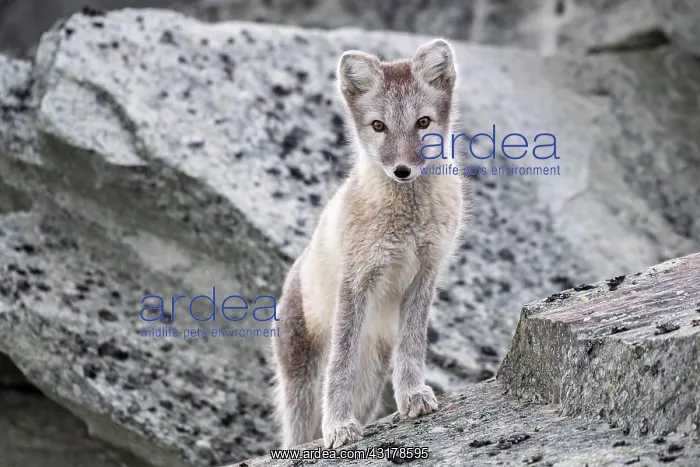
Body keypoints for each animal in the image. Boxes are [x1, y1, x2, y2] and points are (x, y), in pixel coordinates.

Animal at [271, 38, 466, 450]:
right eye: (379, 126)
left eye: (423, 123)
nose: (402, 170)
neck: (408, 222)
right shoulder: (356, 282)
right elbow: (340, 365)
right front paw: (338, 427)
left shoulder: (425, 274)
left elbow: (413, 346)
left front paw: (413, 396)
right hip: (301, 381)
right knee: (296, 432)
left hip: (372, 375)